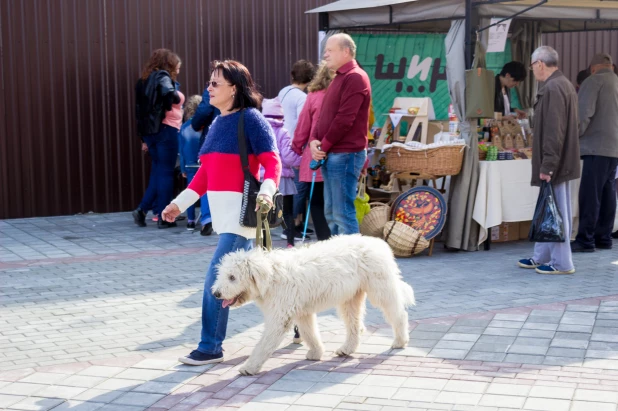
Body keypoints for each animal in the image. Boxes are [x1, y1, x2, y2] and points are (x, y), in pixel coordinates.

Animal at [212, 235, 414, 376]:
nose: (216, 294)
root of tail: (378, 243)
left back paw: (400, 340)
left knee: (398, 314)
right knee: (354, 324)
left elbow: (264, 343)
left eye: (232, 277)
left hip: (380, 288)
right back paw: (347, 349)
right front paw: (316, 352)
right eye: (223, 275)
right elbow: (309, 332)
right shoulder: (301, 312)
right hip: (350, 297)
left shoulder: (280, 316)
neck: (271, 277)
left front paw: (249, 367)